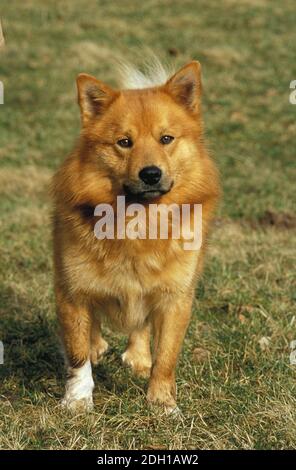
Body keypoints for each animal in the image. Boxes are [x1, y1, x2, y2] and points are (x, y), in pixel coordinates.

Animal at [52, 57, 220, 414]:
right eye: (124, 142)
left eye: (166, 139)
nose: (151, 174)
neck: (138, 221)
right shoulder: (72, 292)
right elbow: (77, 354)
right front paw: (77, 401)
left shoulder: (175, 297)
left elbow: (166, 356)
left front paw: (162, 404)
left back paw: (139, 358)